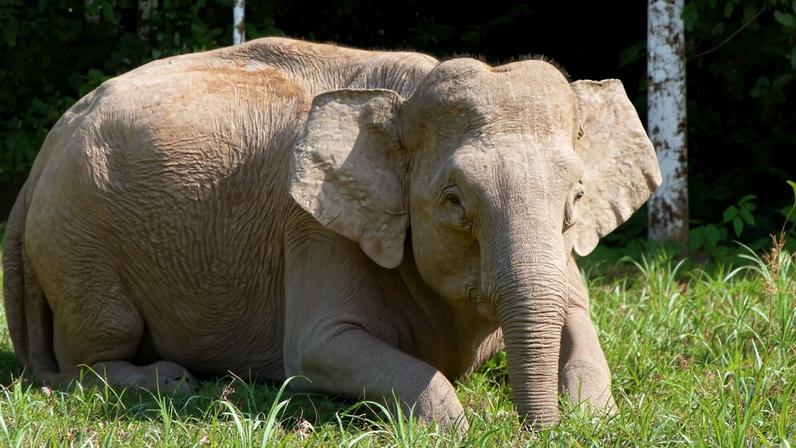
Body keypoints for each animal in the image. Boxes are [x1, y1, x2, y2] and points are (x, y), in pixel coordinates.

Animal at [2, 37, 661, 429]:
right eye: (453, 202)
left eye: (576, 199)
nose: (531, 431)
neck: (400, 97)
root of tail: (36, 164)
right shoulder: (314, 227)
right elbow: (318, 348)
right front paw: (456, 423)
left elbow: (578, 318)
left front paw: (591, 416)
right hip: (77, 243)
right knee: (97, 347)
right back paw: (178, 382)